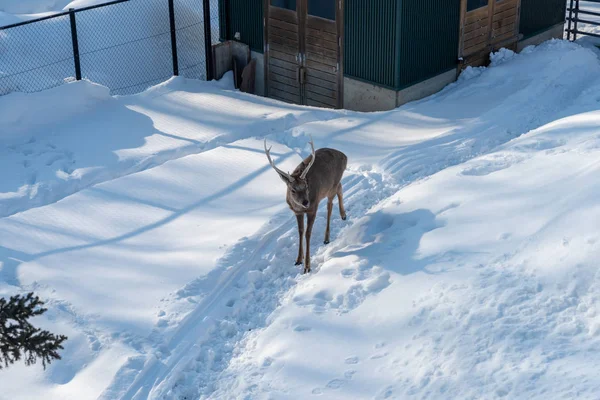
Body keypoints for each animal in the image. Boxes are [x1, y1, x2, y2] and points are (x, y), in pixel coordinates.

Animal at [264, 136, 346, 274]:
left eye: (306, 186)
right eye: (292, 190)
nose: (306, 202)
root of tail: (345, 156)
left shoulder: (313, 209)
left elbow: (308, 233)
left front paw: (307, 266)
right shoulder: (297, 212)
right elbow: (300, 232)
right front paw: (298, 259)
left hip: (331, 186)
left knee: (330, 205)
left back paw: (327, 237)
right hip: (332, 186)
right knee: (340, 188)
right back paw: (343, 215)